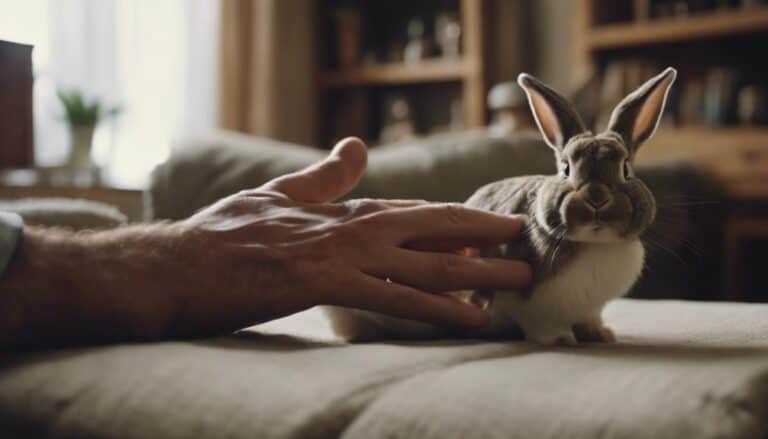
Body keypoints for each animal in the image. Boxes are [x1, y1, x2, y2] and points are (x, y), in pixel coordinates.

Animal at [325, 67, 677, 345]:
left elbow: (589, 319)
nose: (597, 198)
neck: (594, 242)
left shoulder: (590, 308)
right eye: (566, 169)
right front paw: (561, 339)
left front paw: (600, 335)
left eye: (626, 170)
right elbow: (541, 324)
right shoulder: (527, 305)